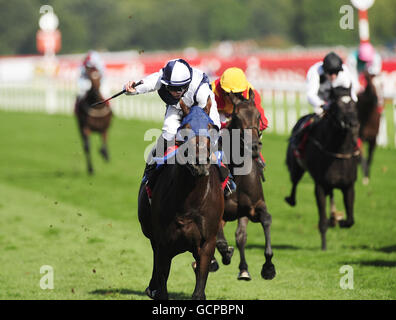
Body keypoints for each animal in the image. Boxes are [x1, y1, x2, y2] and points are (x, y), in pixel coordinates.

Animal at [137, 105, 224, 300]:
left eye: (211, 128)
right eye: (185, 128)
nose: (200, 162)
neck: (190, 202)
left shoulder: (207, 243)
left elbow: (199, 290)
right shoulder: (163, 243)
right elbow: (162, 281)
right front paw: (155, 289)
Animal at [213, 89, 276, 282]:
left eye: (258, 116)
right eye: (236, 116)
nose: (254, 146)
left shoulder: (255, 206)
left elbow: (266, 219)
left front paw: (268, 267)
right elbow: (220, 241)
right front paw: (224, 254)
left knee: (241, 236)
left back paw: (244, 269)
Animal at [284, 87, 362, 250]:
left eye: (353, 103)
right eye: (337, 106)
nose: (353, 124)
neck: (338, 152)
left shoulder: (348, 186)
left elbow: (350, 220)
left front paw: (341, 221)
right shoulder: (319, 185)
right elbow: (322, 221)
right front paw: (324, 245)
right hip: (296, 168)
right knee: (294, 182)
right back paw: (291, 199)